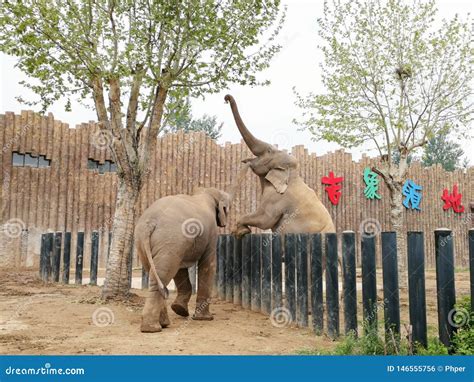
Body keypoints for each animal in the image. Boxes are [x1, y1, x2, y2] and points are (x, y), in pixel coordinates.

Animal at [134, 187, 231, 332]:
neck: (205, 193)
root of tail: (149, 222)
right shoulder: (211, 233)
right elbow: (208, 265)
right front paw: (205, 318)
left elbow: (180, 269)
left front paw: (179, 310)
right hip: (169, 238)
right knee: (163, 274)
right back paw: (152, 328)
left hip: (147, 241)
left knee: (157, 273)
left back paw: (162, 324)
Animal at [224, 94, 336, 236]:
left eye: (269, 151)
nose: (226, 98)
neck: (291, 173)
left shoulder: (278, 198)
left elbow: (265, 219)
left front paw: (240, 231)